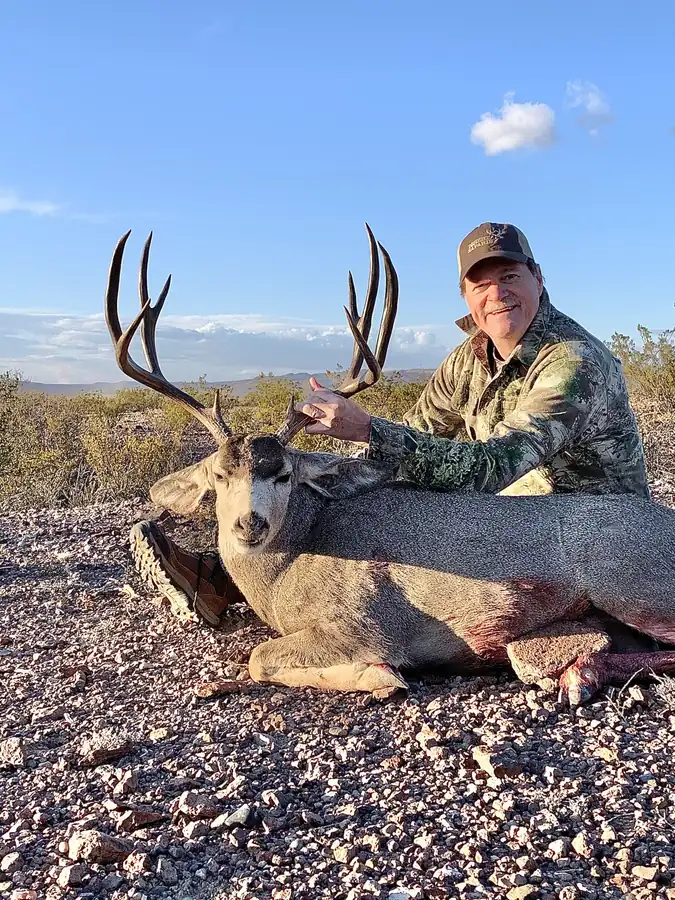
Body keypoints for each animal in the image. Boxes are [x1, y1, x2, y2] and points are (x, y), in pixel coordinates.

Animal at [105, 228, 675, 707]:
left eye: (284, 474)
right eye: (220, 477)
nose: (250, 524)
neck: (292, 561)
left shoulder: (364, 620)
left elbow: (259, 656)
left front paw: (379, 676)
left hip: (632, 582)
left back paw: (580, 674)